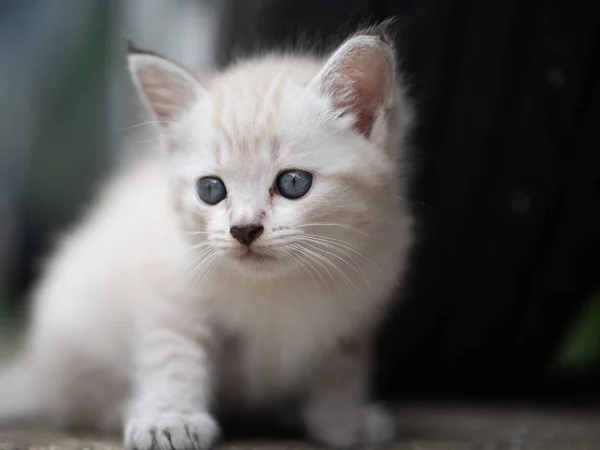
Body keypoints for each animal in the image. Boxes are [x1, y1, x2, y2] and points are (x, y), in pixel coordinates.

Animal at [0, 25, 412, 450]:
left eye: (294, 183)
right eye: (211, 189)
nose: (244, 229)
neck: (281, 286)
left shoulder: (358, 310)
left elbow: (340, 369)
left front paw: (344, 422)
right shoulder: (170, 295)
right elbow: (174, 360)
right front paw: (169, 421)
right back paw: (122, 409)